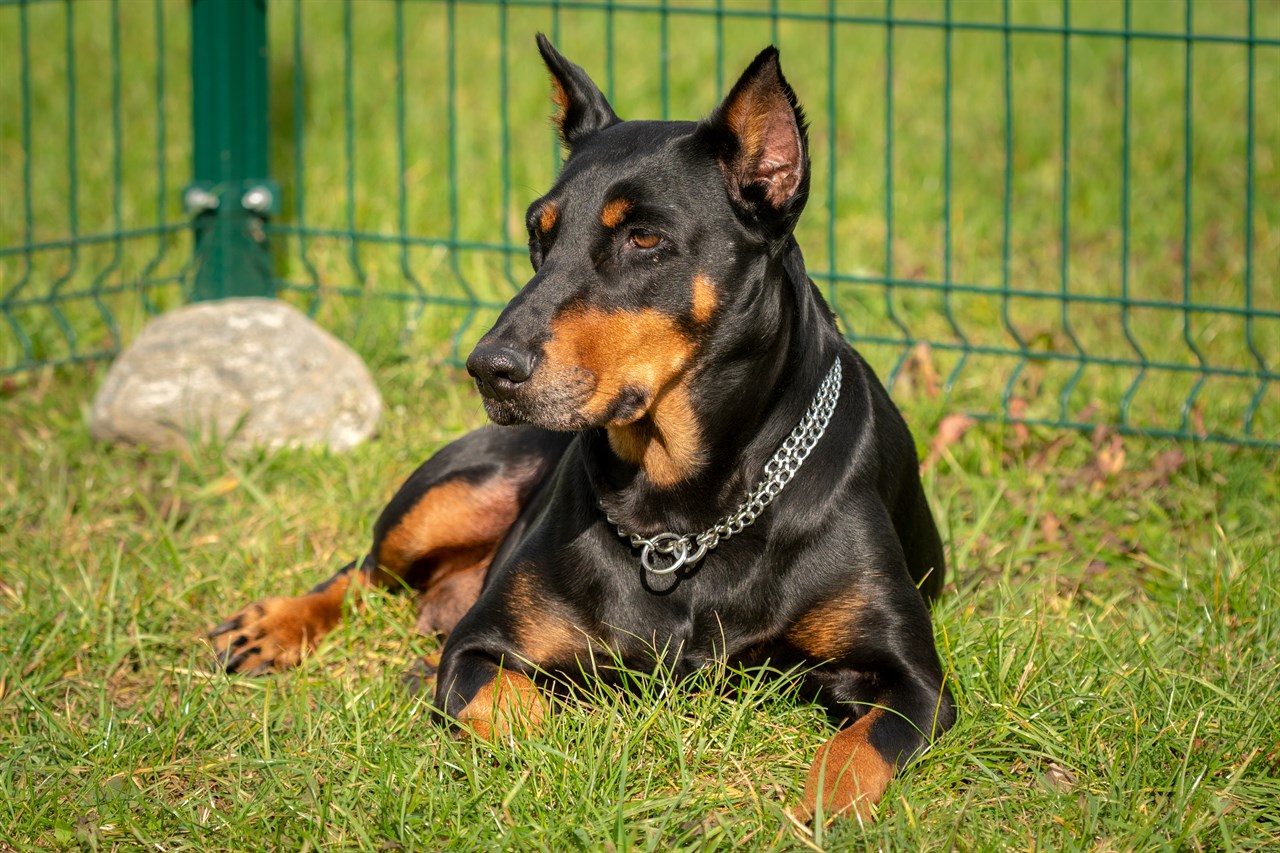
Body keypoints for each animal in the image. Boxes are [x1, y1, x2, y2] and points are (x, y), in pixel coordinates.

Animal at [209, 38, 952, 819]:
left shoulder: (914, 681)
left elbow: (857, 751)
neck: (683, 513)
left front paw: (821, 812)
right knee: (364, 570)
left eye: (644, 237)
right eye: (538, 232)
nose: (488, 367)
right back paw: (275, 624)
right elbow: (512, 705)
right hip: (461, 487)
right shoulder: (481, 644)